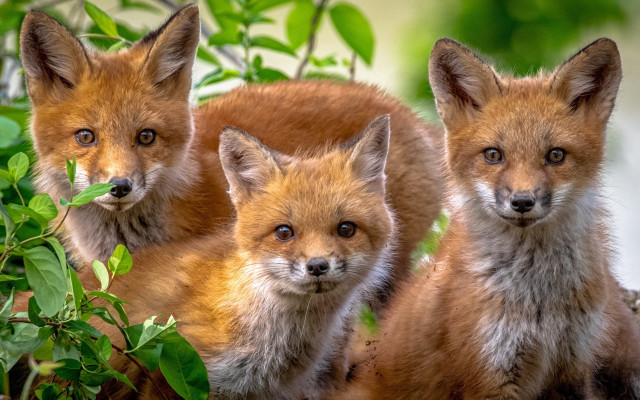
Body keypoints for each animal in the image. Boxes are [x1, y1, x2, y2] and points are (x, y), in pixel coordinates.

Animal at [340, 38, 640, 399]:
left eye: (556, 155)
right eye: (493, 155)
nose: (522, 201)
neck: (540, 301)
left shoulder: (573, 367)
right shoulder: (491, 373)